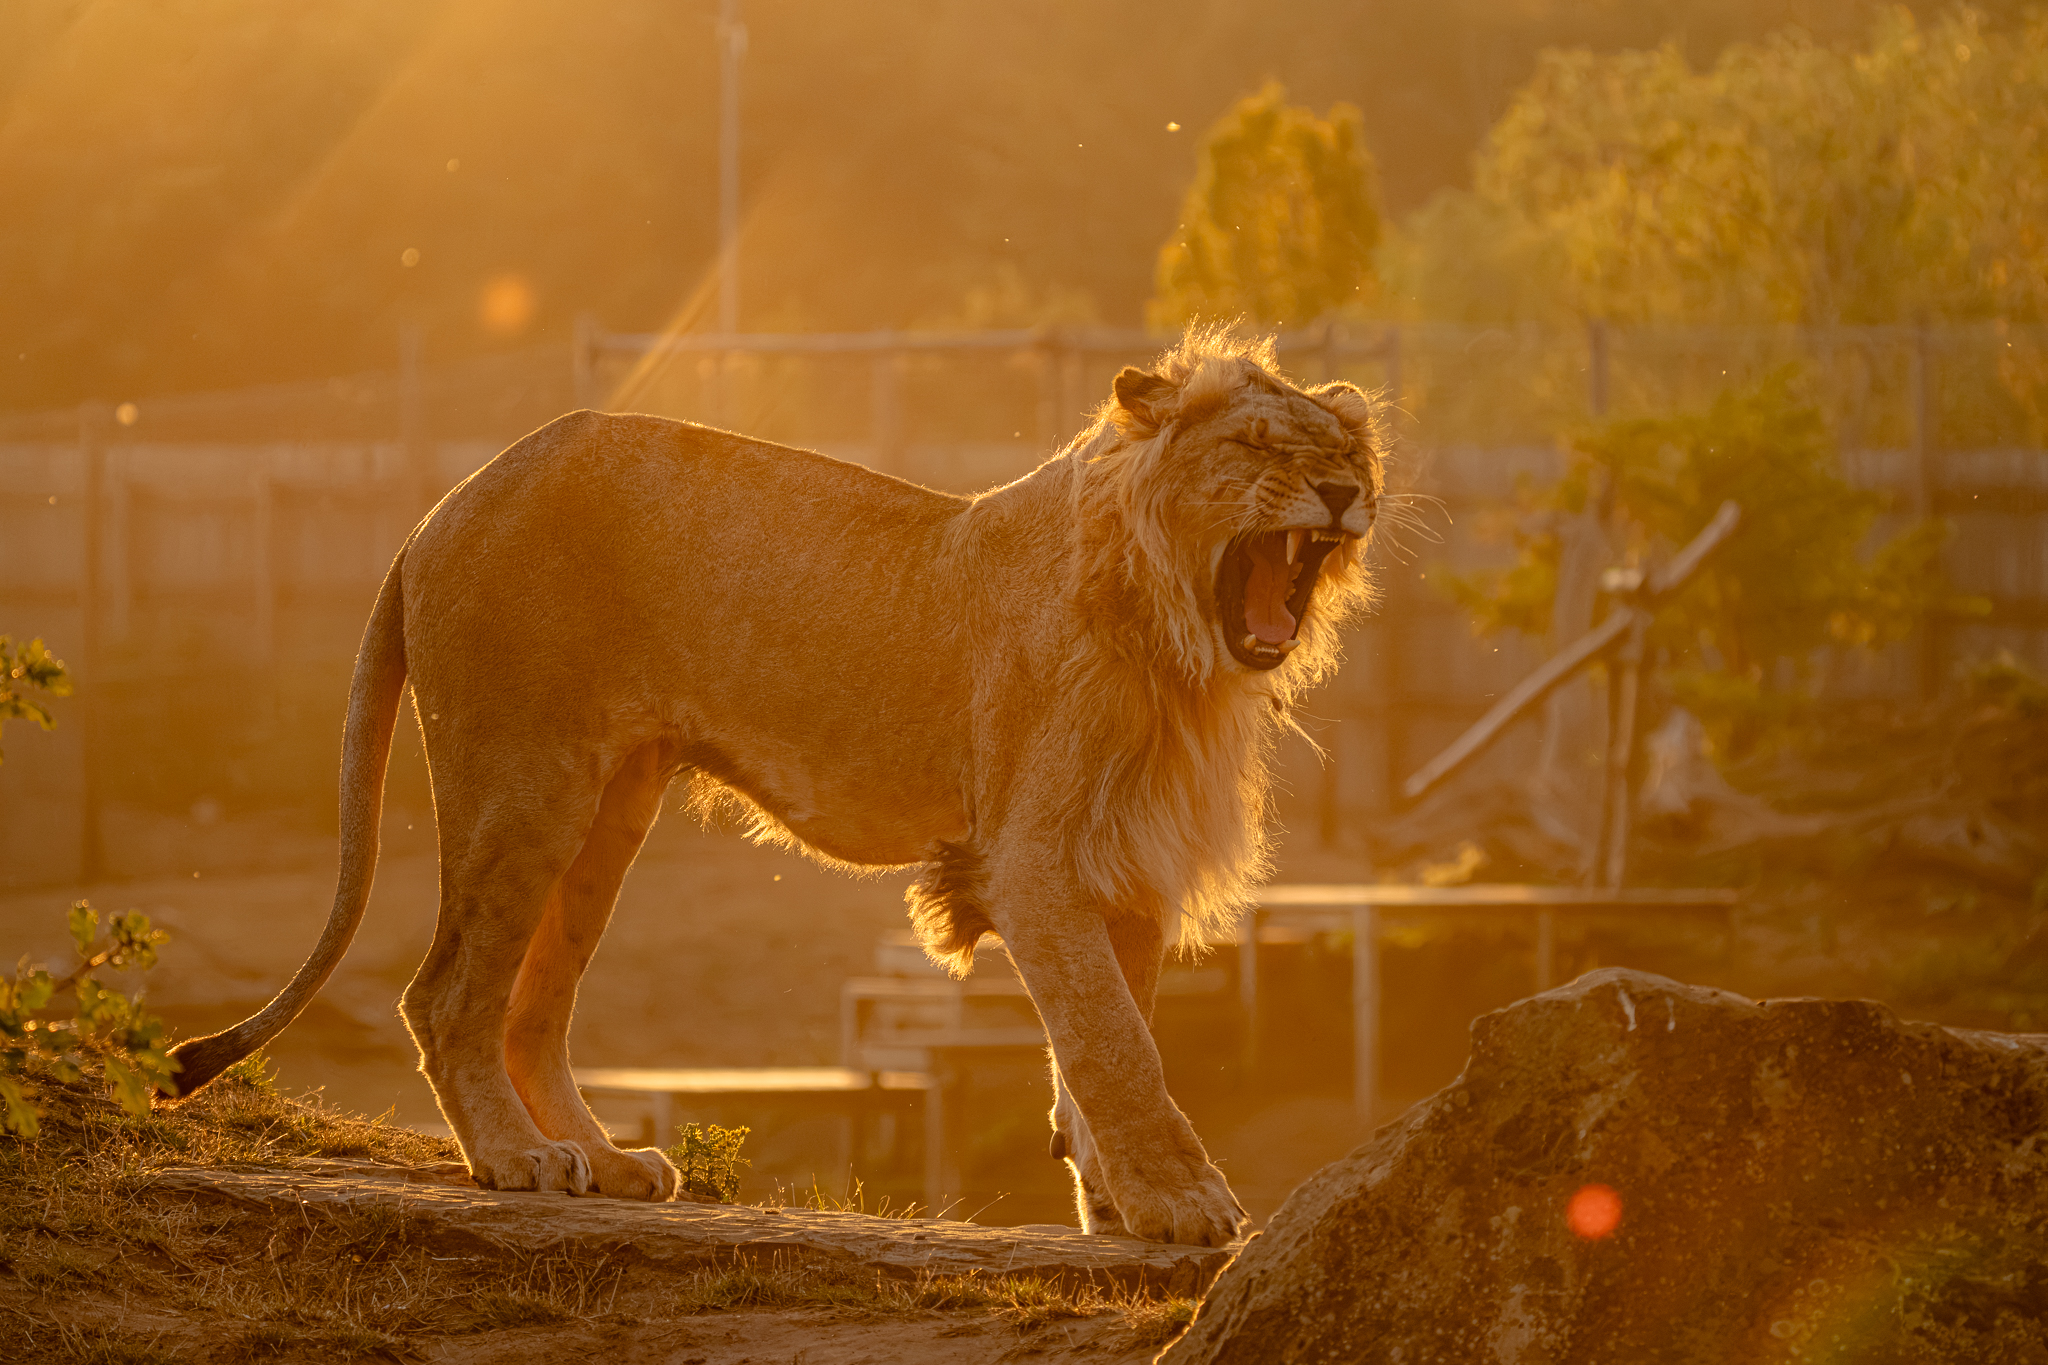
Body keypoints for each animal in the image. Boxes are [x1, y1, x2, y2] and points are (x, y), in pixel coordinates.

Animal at [163, 325, 1383, 1247]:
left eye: (1347, 455)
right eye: (1258, 444)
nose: (1338, 492)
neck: (1177, 647)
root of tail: (439, 506)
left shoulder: (1123, 861)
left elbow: (1103, 1040)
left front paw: (1112, 1201)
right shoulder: (1034, 859)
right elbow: (1116, 1047)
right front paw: (1185, 1203)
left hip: (609, 808)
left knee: (531, 1009)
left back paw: (601, 1159)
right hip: (523, 782)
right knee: (448, 993)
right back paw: (516, 1159)